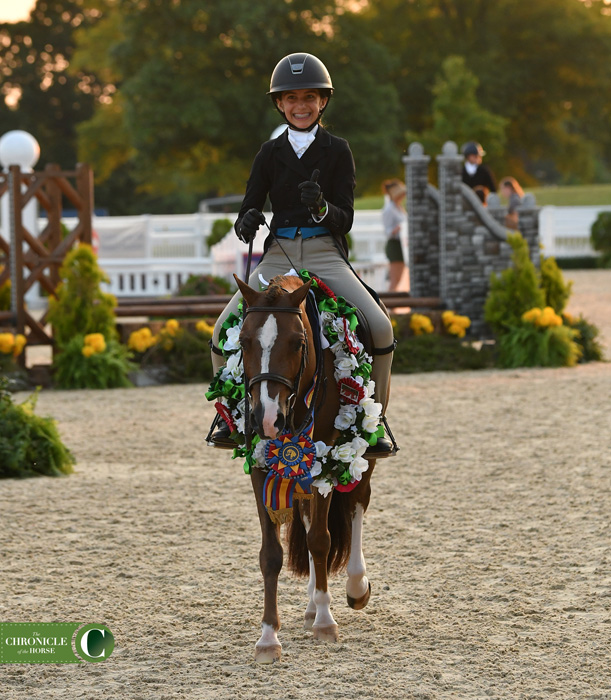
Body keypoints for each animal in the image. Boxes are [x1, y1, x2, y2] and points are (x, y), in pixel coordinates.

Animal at [235, 274, 376, 660]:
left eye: (298, 343)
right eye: (243, 341)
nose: (267, 419)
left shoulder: (326, 458)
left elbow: (321, 541)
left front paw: (326, 623)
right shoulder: (260, 465)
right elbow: (271, 554)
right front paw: (268, 637)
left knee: (357, 502)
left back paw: (355, 587)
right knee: (312, 515)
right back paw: (312, 603)